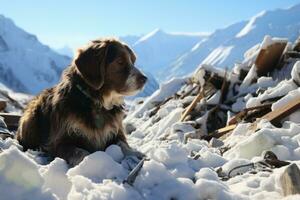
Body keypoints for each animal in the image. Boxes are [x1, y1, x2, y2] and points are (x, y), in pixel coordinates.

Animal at [15, 37, 147, 166]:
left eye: (133, 61)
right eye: (120, 61)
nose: (145, 79)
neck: (96, 102)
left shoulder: (116, 132)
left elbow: (123, 144)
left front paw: (136, 154)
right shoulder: (59, 142)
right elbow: (80, 152)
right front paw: (91, 163)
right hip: (31, 117)